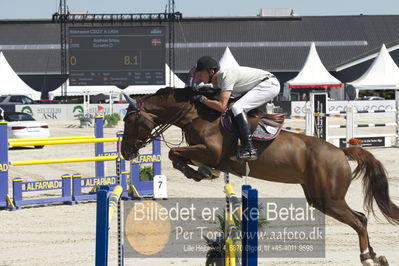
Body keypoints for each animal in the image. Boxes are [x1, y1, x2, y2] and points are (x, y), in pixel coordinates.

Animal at [122, 88, 399, 266]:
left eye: (130, 121)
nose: (125, 152)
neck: (196, 115)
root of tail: (340, 151)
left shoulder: (211, 151)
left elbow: (174, 152)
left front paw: (196, 172)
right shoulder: (205, 153)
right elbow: (177, 155)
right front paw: (201, 172)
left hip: (329, 199)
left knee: (359, 221)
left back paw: (367, 258)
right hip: (320, 198)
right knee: (362, 217)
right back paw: (376, 255)